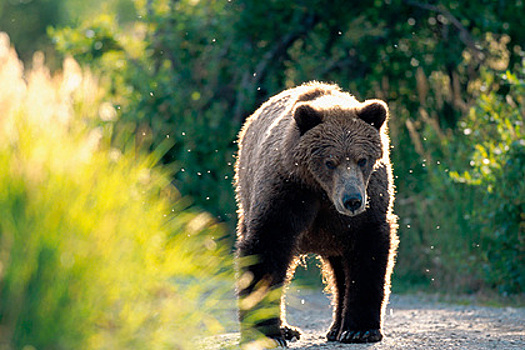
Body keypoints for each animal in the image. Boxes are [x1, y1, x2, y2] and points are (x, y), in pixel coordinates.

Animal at [233, 81, 398, 348]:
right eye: (330, 161)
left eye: (362, 159)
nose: (352, 200)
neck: (322, 192)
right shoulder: (287, 191)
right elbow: (266, 247)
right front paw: (267, 331)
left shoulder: (369, 204)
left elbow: (368, 258)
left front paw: (360, 330)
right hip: (247, 195)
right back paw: (289, 329)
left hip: (337, 236)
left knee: (341, 272)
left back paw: (337, 329)